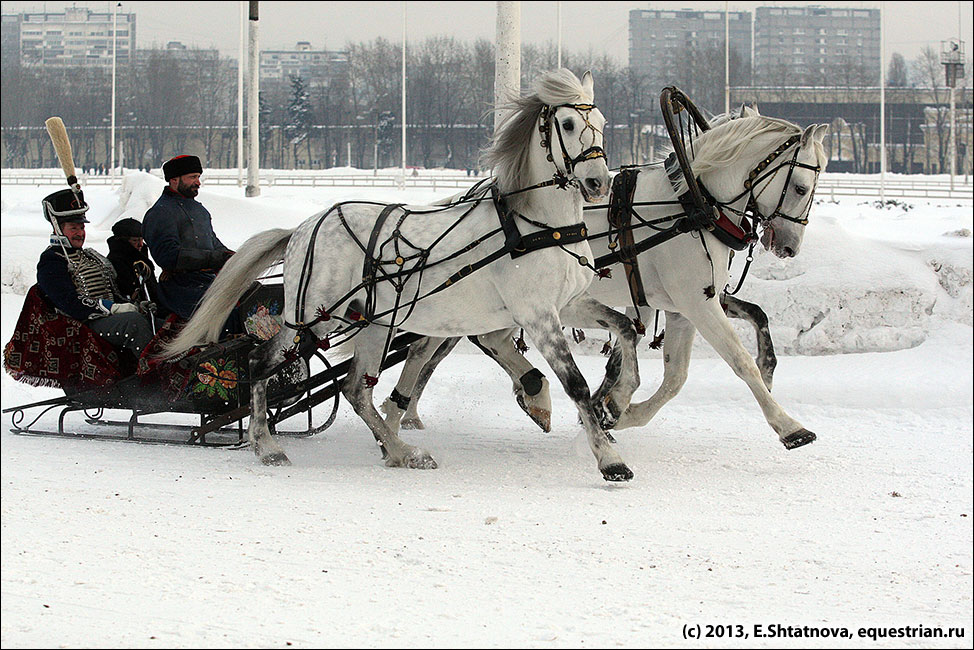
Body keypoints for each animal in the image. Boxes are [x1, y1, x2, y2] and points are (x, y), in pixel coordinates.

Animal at [166, 69, 648, 480]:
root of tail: (302, 228)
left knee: (355, 389)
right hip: (313, 318)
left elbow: (625, 328)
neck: (536, 224)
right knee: (260, 363)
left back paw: (400, 450)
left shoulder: (566, 304)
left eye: (601, 121)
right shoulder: (537, 314)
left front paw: (619, 399)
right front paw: (610, 459)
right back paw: (266, 445)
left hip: (373, 322)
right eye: (566, 123)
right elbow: (575, 384)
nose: (598, 182)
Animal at [384, 107, 832, 450]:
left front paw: (618, 411)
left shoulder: (684, 304)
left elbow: (677, 374)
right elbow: (738, 363)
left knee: (450, 347)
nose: (789, 247)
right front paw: (789, 426)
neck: (691, 203)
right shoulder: (696, 302)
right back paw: (407, 411)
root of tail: (470, 196)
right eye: (800, 187)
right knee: (427, 351)